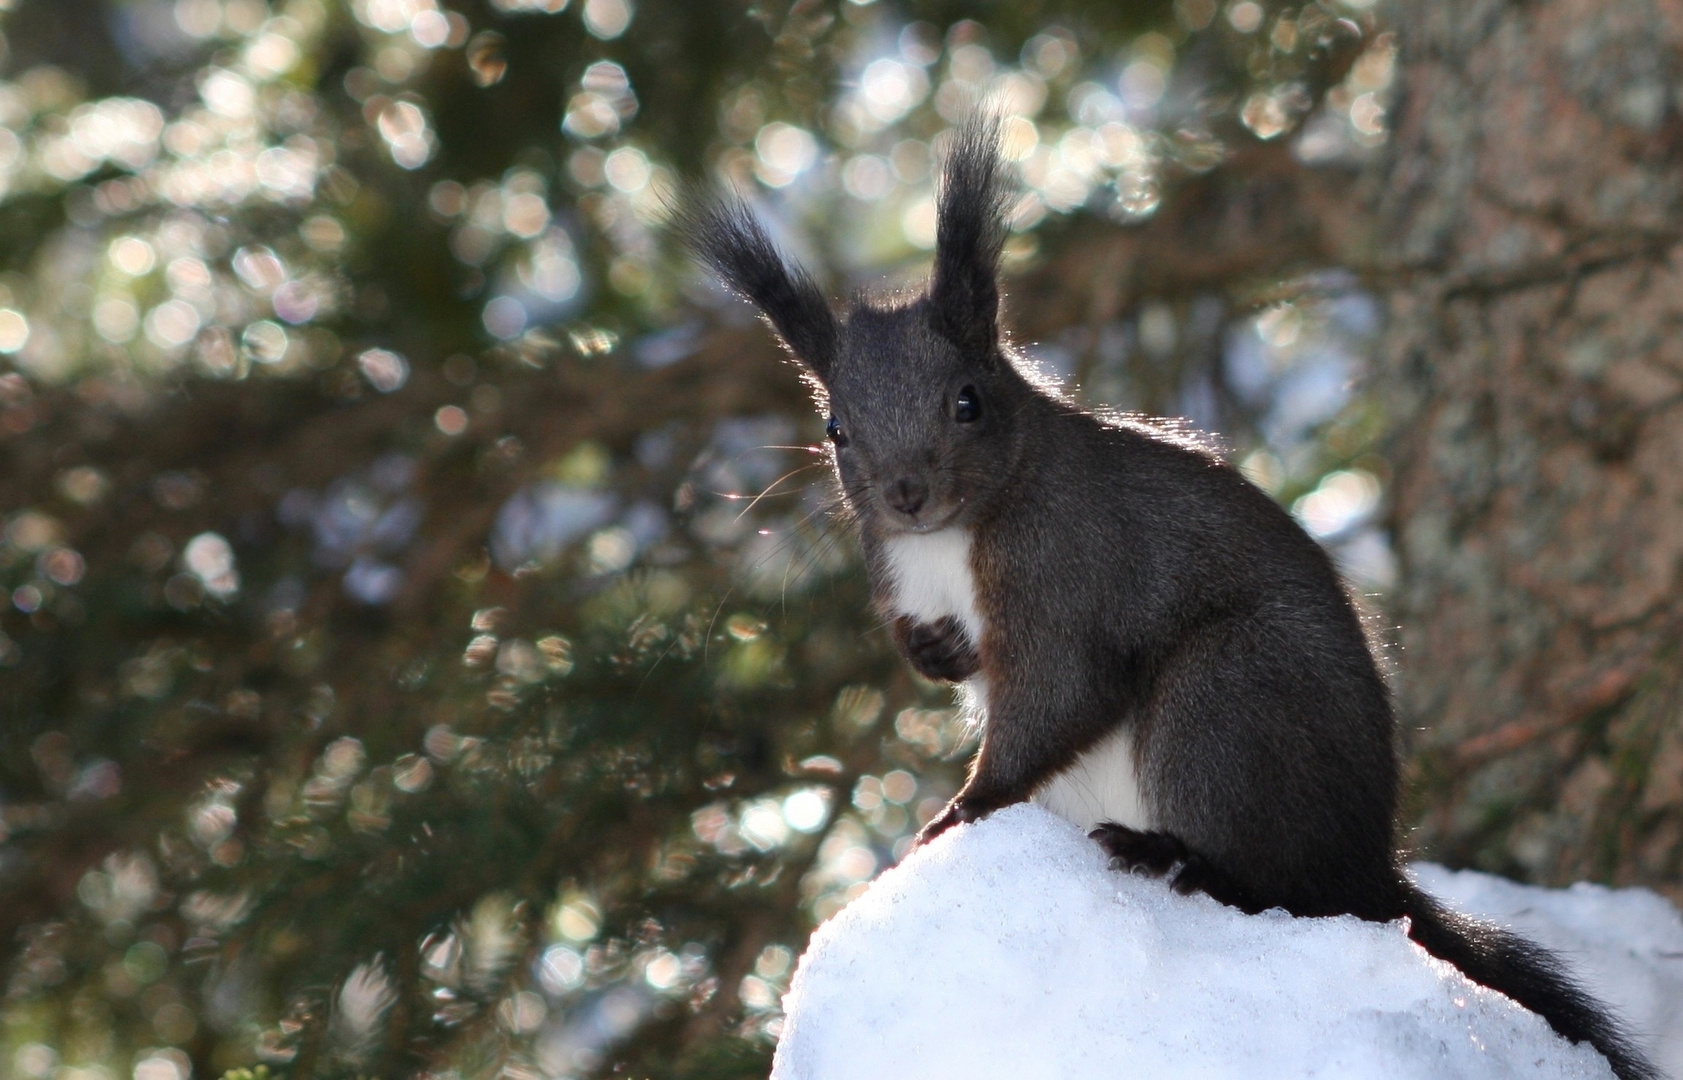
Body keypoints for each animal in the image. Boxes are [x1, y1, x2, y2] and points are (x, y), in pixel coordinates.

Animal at [673, 117, 1656, 1076]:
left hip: (1225, 703)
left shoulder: (1067, 575)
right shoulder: (895, 570)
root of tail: (1367, 866)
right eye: (834, 427)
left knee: (1277, 887)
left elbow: (1058, 696)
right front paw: (937, 657)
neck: (955, 536)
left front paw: (957, 812)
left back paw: (1174, 857)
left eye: (967, 401)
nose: (907, 494)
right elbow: (936, 648)